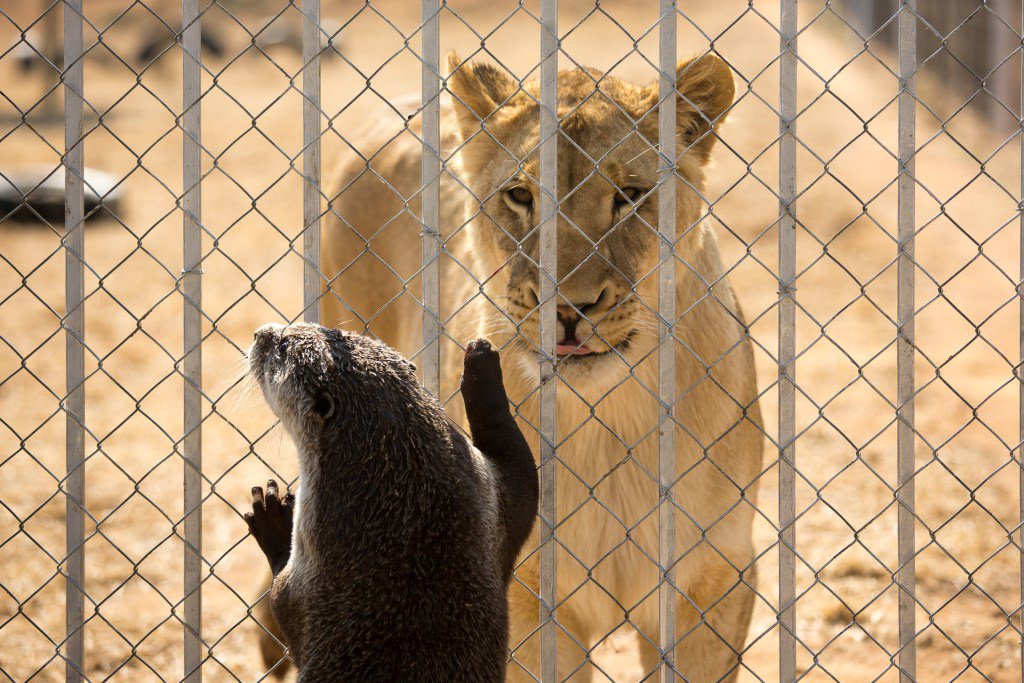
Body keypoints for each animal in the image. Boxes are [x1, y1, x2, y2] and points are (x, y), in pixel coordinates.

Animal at [242, 323, 538, 681]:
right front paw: (481, 359)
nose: (260, 333)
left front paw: (273, 519)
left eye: (283, 346)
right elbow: (522, 472)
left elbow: (282, 604)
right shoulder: (487, 499)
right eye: (332, 330)